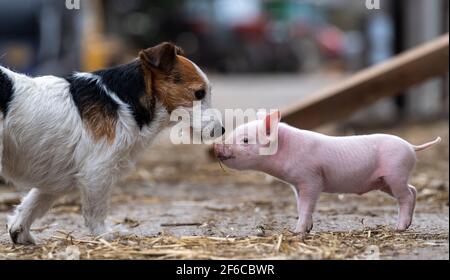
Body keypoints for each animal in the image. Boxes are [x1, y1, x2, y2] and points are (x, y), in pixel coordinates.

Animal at [0, 42, 224, 244]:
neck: (124, 101)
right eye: (199, 93)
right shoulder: (97, 172)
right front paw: (105, 234)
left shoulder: (55, 179)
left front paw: (20, 232)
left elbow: (31, 205)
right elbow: (95, 212)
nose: (221, 130)